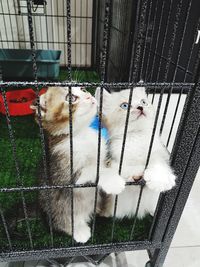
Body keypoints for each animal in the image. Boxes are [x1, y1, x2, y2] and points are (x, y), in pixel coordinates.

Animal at [30, 87, 125, 244]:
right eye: (71, 98)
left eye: (83, 89)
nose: (89, 96)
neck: (80, 134)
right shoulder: (64, 174)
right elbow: (92, 169)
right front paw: (113, 181)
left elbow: (105, 162)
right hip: (58, 208)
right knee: (64, 222)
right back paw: (80, 231)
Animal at [95, 87, 175, 219]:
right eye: (125, 105)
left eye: (143, 102)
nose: (140, 107)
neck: (136, 136)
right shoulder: (112, 153)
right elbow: (114, 166)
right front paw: (117, 180)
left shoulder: (158, 149)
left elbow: (158, 160)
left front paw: (160, 178)